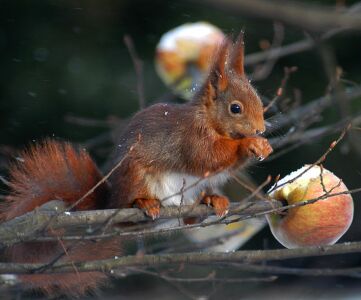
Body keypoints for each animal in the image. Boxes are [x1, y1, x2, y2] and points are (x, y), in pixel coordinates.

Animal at [0, 34, 270, 296]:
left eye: (259, 100)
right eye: (235, 108)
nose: (260, 130)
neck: (208, 120)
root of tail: (111, 203)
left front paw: (263, 146)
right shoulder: (191, 138)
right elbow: (209, 156)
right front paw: (249, 144)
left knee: (190, 217)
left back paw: (211, 200)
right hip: (135, 176)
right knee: (132, 213)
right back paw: (144, 203)